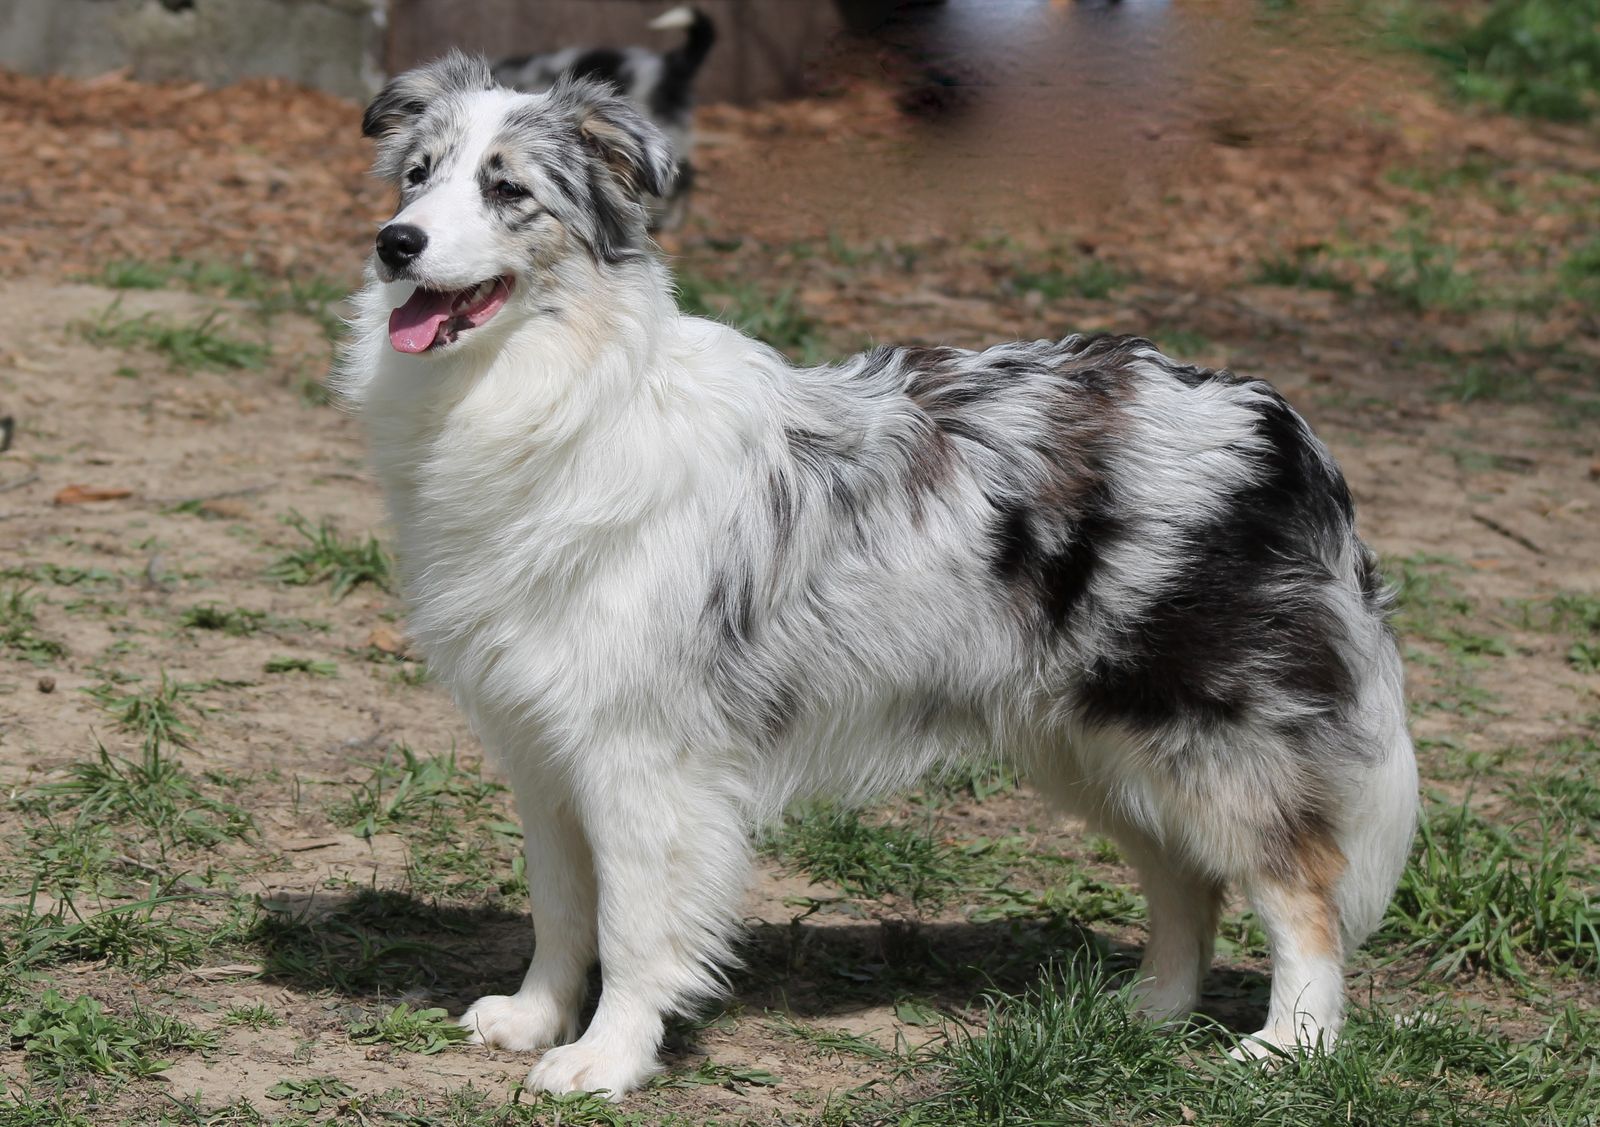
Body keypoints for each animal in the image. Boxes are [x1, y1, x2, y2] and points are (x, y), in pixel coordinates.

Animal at [337, 53, 1418, 1099]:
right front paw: (534, 1017)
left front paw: (607, 1057)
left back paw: (1292, 1042)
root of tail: (1271, 414)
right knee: (1187, 877)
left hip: (1209, 736)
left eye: (507, 188)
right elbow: (561, 906)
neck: (556, 389)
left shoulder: (643, 756)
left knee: (1300, 882)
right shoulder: (543, 747)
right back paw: (1149, 1011)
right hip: (1097, 740)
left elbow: (634, 925)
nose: (394, 243)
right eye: (418, 175)